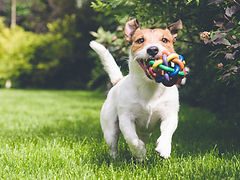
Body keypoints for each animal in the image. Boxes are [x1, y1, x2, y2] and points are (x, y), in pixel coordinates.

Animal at [89, 19, 182, 161]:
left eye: (165, 40)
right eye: (140, 40)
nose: (153, 49)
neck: (149, 86)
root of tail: (118, 81)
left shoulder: (170, 115)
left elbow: (167, 132)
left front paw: (164, 148)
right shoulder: (126, 118)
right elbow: (132, 139)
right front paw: (139, 151)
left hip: (145, 132)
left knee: (143, 138)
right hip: (110, 128)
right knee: (114, 144)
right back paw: (118, 157)